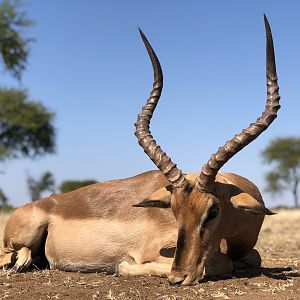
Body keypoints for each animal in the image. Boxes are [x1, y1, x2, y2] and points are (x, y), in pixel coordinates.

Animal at [0, 15, 282, 286]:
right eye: (174, 209)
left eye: (213, 211)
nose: (178, 277)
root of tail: (45, 202)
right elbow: (220, 263)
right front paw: (124, 267)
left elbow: (252, 258)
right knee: (10, 255)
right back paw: (19, 261)